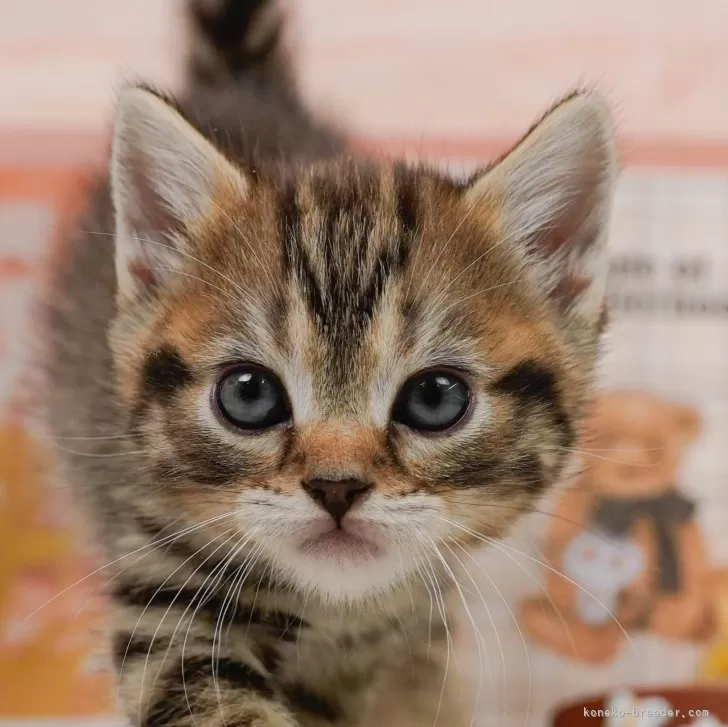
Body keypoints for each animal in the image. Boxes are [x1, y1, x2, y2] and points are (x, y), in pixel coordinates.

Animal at [42, 0, 616, 724]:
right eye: (249, 395)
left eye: (435, 398)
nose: (336, 486)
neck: (340, 613)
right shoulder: (160, 586)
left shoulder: (417, 631)